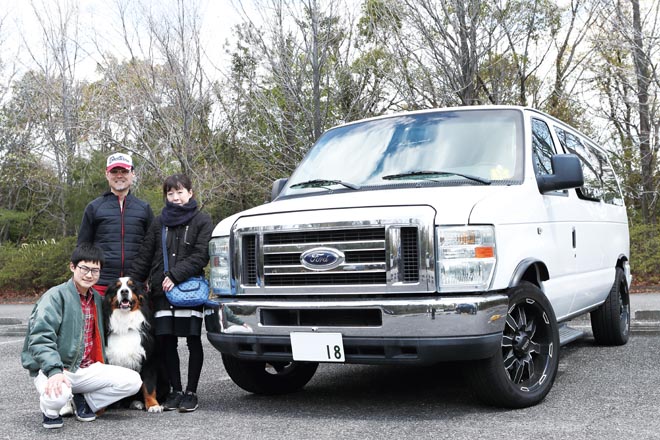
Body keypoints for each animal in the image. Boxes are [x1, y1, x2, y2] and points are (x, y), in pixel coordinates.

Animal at [104, 278, 165, 412]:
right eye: (117, 287)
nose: (124, 291)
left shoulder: (148, 359)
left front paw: (153, 405)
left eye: (132, 286)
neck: (125, 326)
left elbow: (148, 386)